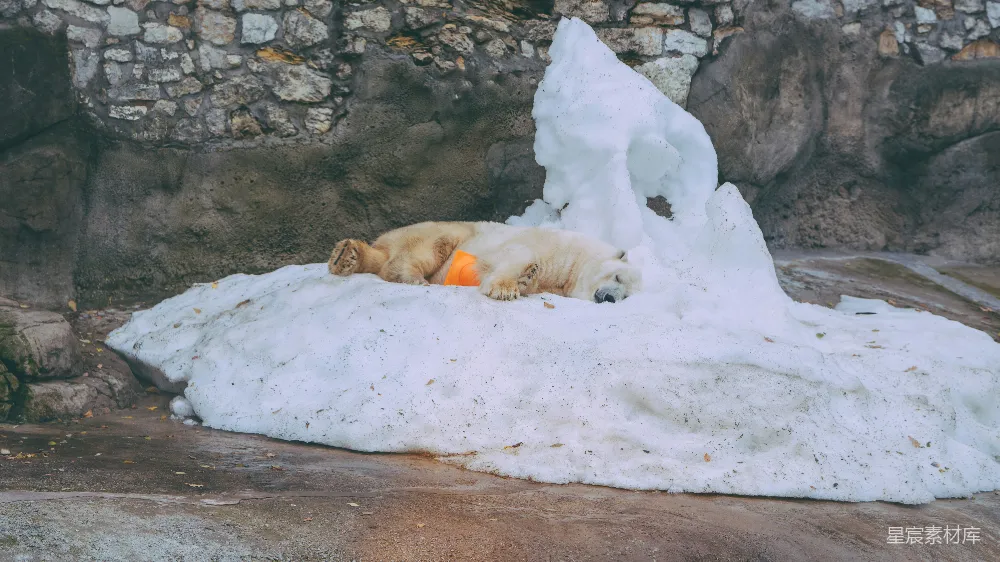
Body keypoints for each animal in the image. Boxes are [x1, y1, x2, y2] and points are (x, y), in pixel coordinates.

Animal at [327, 221, 642, 303]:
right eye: (617, 278)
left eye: (626, 297)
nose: (610, 299)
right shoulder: (552, 246)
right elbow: (517, 255)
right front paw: (506, 287)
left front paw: (526, 280)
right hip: (442, 232)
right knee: (427, 249)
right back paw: (412, 277)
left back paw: (347, 256)